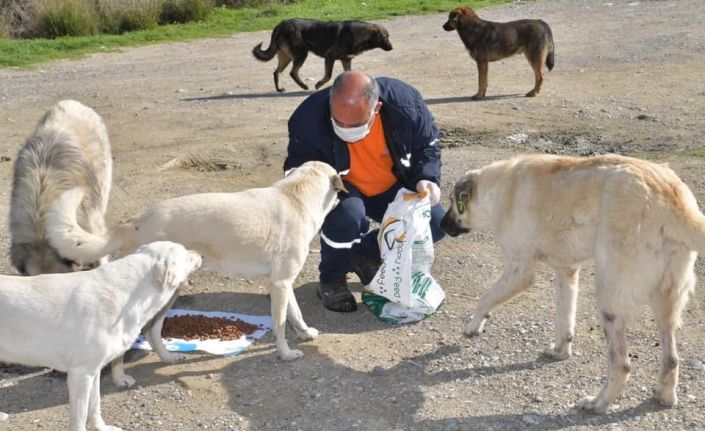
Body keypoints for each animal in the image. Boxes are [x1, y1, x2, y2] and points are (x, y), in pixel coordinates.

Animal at [0, 243, 204, 431]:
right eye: (185, 254)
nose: (200, 254)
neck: (128, 295)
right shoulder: (80, 375)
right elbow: (80, 419)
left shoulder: (93, 371)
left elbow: (95, 406)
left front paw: (102, 427)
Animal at [45, 160, 346, 362]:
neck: (295, 195)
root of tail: (138, 221)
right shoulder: (281, 284)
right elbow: (281, 324)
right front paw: (286, 353)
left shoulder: (281, 283)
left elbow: (295, 313)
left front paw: (305, 333)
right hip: (166, 292)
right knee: (150, 330)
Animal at [440, 155, 704, 416]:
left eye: (452, 201)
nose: (441, 225)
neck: (497, 188)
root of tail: (670, 193)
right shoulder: (566, 271)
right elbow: (564, 319)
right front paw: (560, 351)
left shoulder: (519, 272)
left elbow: (484, 299)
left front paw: (473, 326)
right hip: (665, 302)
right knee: (671, 358)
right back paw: (665, 396)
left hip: (609, 299)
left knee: (622, 365)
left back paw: (598, 403)